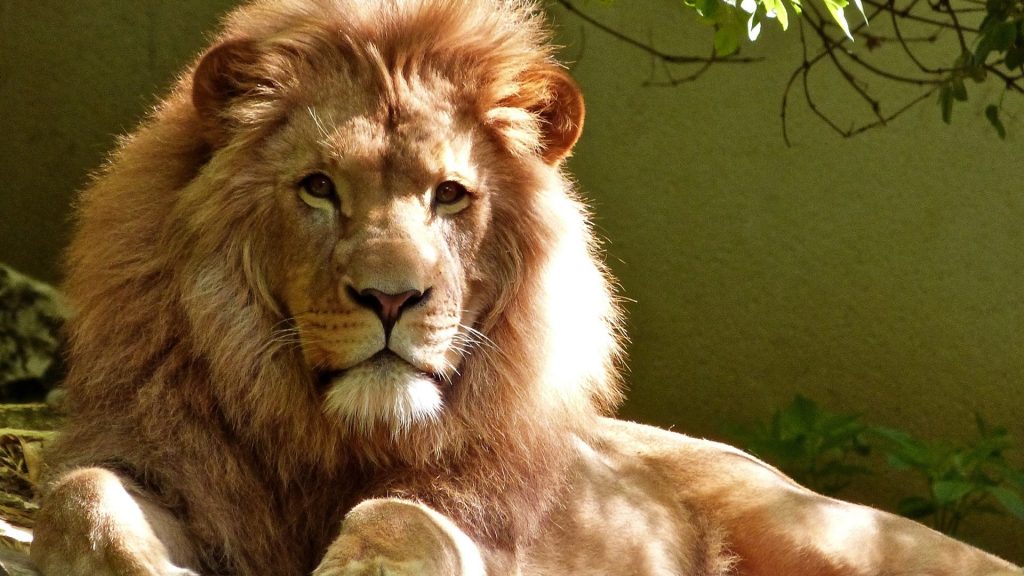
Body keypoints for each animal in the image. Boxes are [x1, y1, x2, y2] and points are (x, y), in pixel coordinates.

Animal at [28, 1, 1019, 573]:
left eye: (449, 195)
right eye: (318, 188)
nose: (392, 300)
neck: (331, 441)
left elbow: (408, 519)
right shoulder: (158, 461)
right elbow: (82, 497)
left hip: (843, 537)